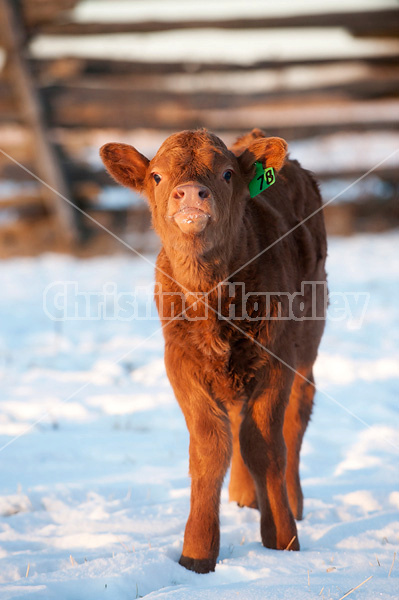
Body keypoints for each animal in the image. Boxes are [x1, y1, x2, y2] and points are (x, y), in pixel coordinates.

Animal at [100, 129, 328, 576]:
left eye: (226, 173)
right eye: (157, 176)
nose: (190, 193)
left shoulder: (276, 360)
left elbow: (265, 445)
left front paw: (282, 539)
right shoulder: (179, 362)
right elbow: (211, 446)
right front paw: (197, 552)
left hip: (308, 339)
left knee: (297, 414)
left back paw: (293, 501)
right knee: (240, 421)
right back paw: (244, 497)